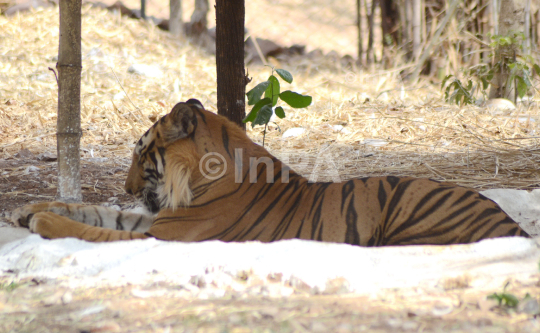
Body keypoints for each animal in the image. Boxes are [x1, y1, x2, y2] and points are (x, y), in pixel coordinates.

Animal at [10, 98, 528, 244]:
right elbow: (96, 212)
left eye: (142, 157)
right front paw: (27, 209)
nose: (128, 186)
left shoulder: (169, 234)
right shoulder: (160, 219)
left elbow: (94, 229)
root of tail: (511, 223)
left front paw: (43, 220)